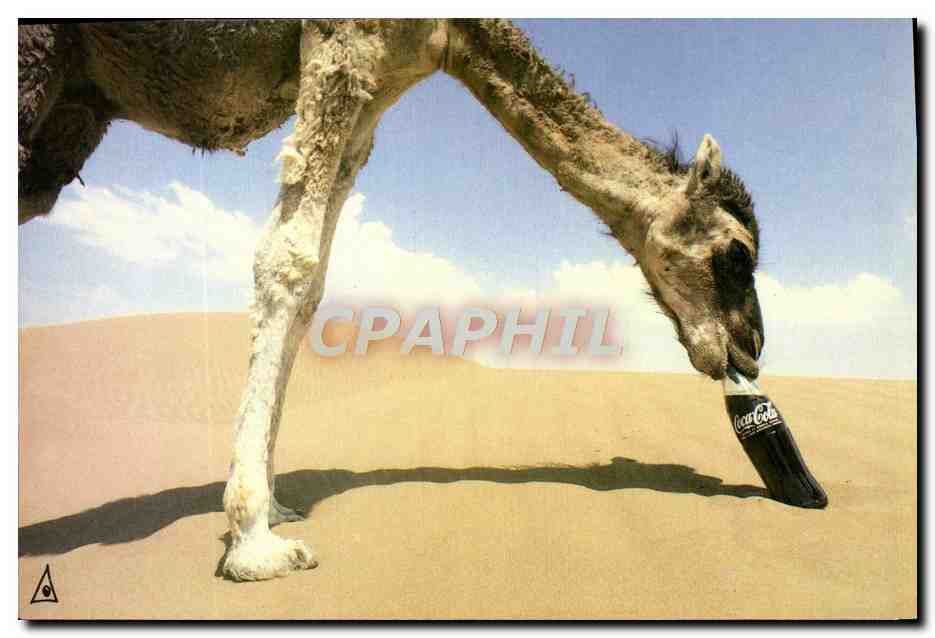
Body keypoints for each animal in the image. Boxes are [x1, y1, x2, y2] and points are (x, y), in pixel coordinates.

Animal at [19, 19, 765, 581]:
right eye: (737, 253)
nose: (750, 348)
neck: (450, 30)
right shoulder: (342, 39)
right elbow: (289, 258)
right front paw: (256, 543)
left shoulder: (376, 84)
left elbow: (314, 280)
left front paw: (276, 510)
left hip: (70, 112)